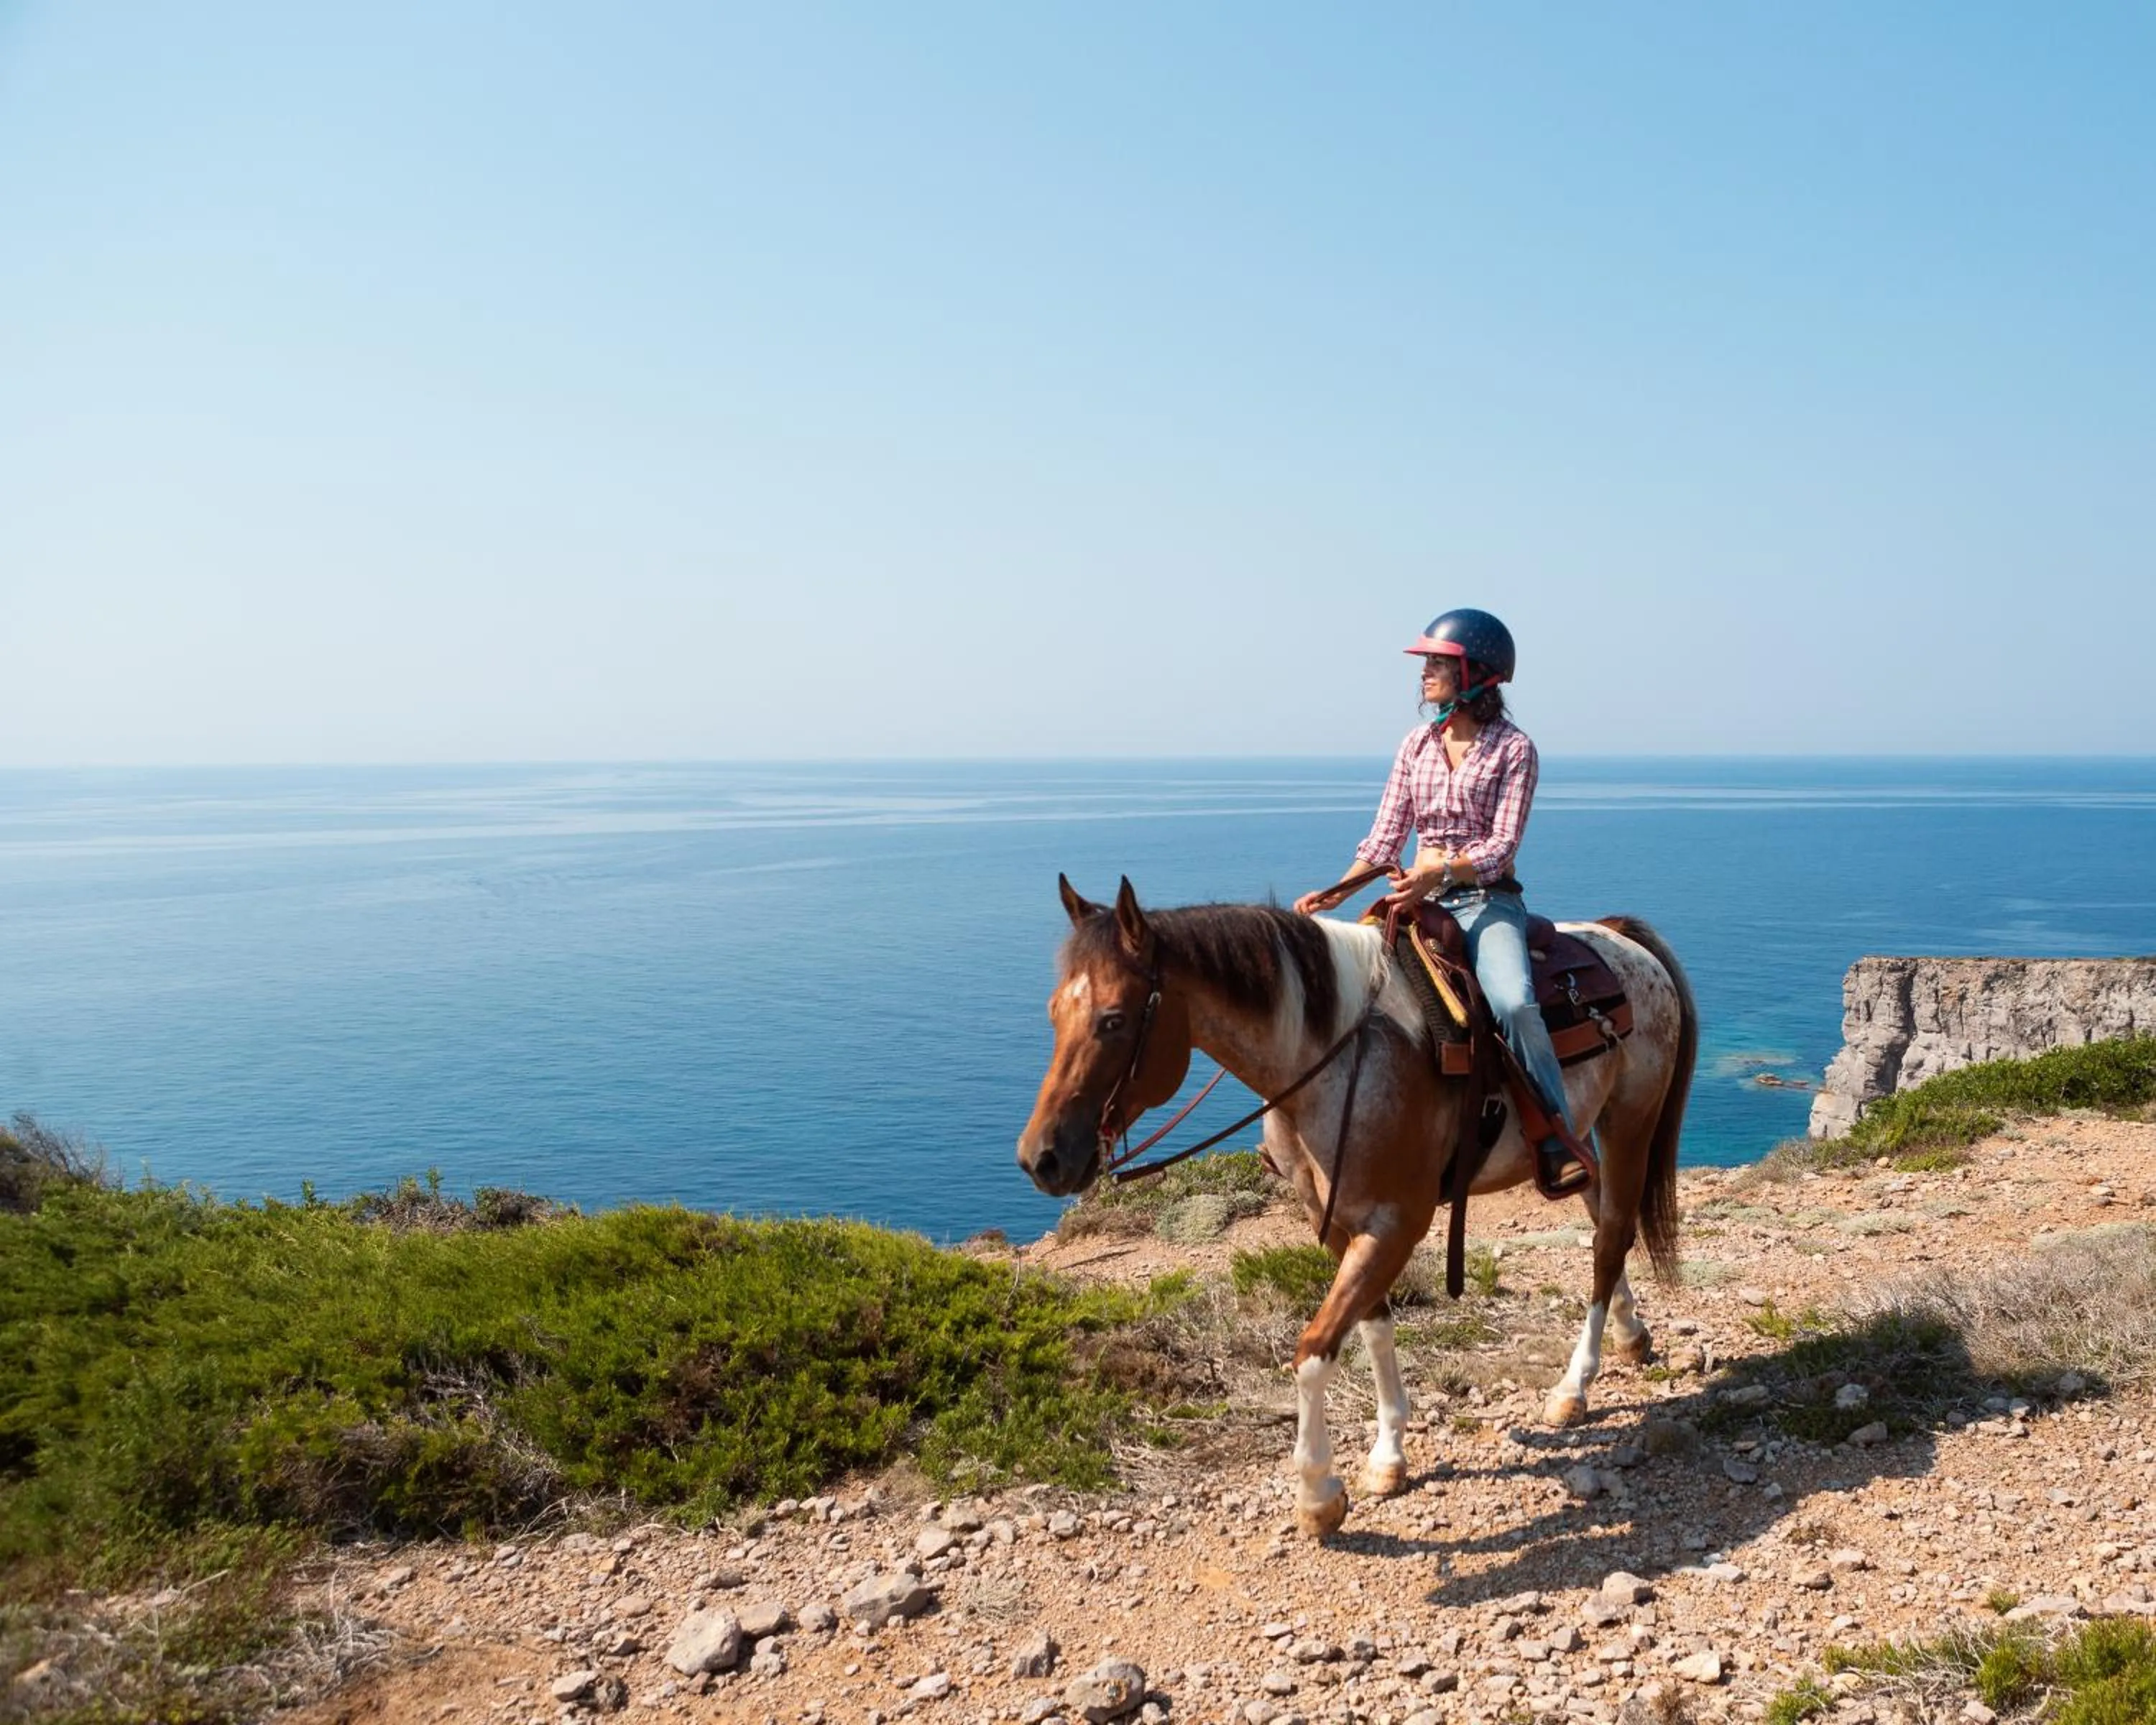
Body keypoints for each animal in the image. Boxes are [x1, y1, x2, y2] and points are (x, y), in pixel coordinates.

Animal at [1016, 875, 1696, 1540]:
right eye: (1053, 1012)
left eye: (1113, 1020)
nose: (1041, 1158)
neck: (1331, 1062)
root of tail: (1618, 939)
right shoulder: (1339, 1227)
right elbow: (1372, 1328)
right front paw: (1388, 1454)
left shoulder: (1395, 1224)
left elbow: (1313, 1353)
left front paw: (1318, 1494)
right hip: (1577, 1137)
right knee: (1606, 1221)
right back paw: (1631, 1336)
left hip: (1629, 1121)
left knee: (1609, 1241)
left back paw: (1573, 1385)